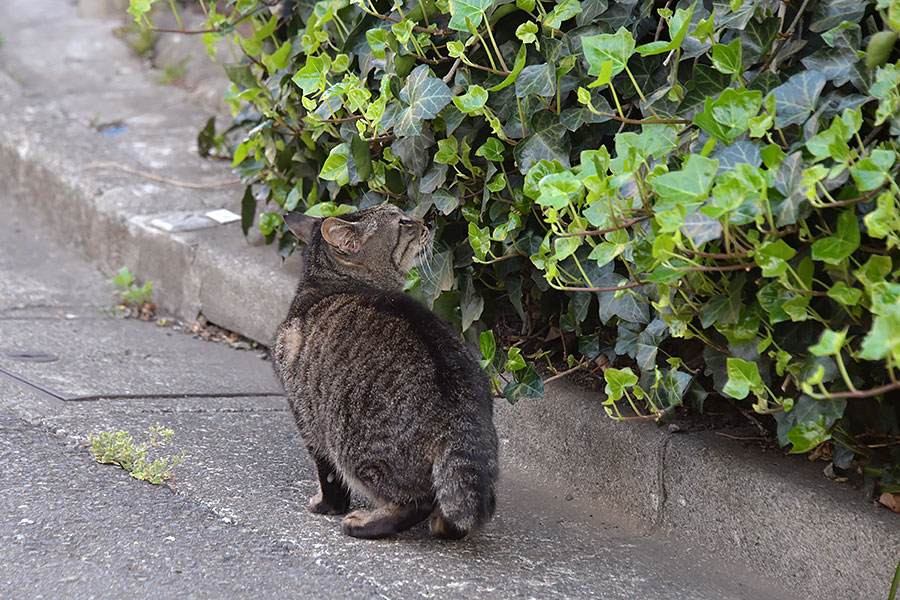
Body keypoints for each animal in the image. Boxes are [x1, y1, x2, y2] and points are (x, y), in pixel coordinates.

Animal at [274, 202, 500, 540]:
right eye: (403, 221)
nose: (425, 220)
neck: (326, 282)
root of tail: (461, 415)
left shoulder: (307, 418)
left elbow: (327, 476)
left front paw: (325, 505)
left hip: (352, 444)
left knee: (414, 502)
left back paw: (364, 523)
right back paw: (441, 523)